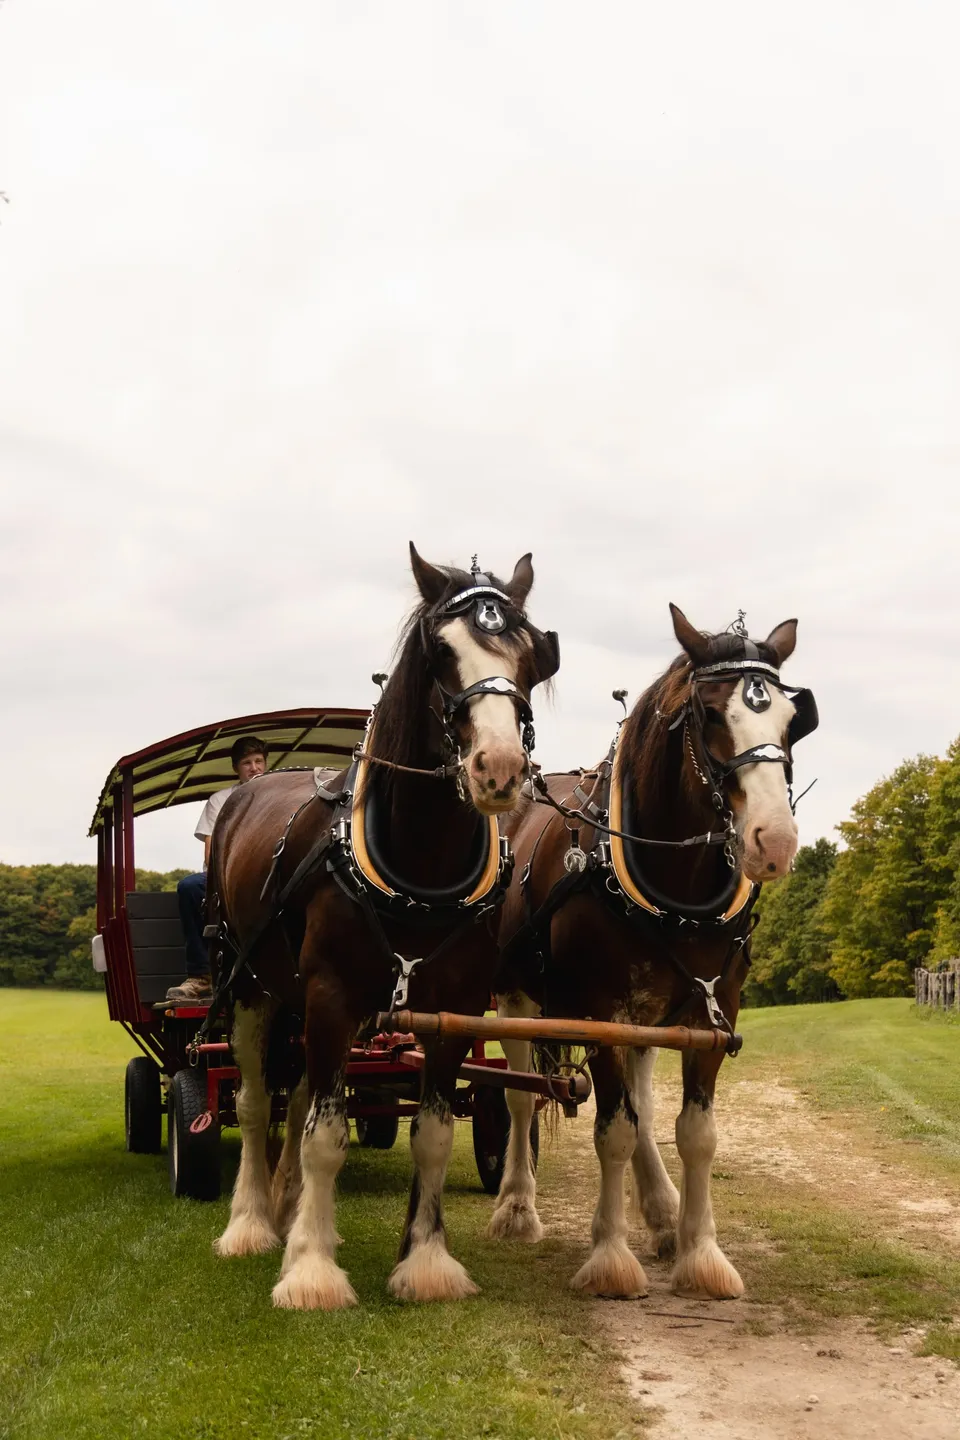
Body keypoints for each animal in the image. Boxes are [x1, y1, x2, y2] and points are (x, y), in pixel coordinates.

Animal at [207, 544, 559, 1309]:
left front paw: (424, 1260)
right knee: (254, 1101)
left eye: (532, 654)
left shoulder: (453, 1010)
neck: (419, 866)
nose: (499, 768)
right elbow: (324, 1136)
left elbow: (430, 1134)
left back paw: (289, 1205)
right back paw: (252, 1222)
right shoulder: (333, 997)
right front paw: (310, 1270)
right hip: (249, 984)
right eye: (439, 652)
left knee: (297, 1096)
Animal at [488, 604, 818, 1300]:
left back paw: (662, 1213)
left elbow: (693, 1135)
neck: (674, 888)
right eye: (712, 715)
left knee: (639, 1098)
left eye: (791, 719)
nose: (774, 841)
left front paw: (700, 1250)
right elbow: (611, 1132)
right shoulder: (599, 1014)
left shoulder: (713, 1013)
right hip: (516, 996)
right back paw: (517, 1207)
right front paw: (610, 1256)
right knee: (521, 1096)